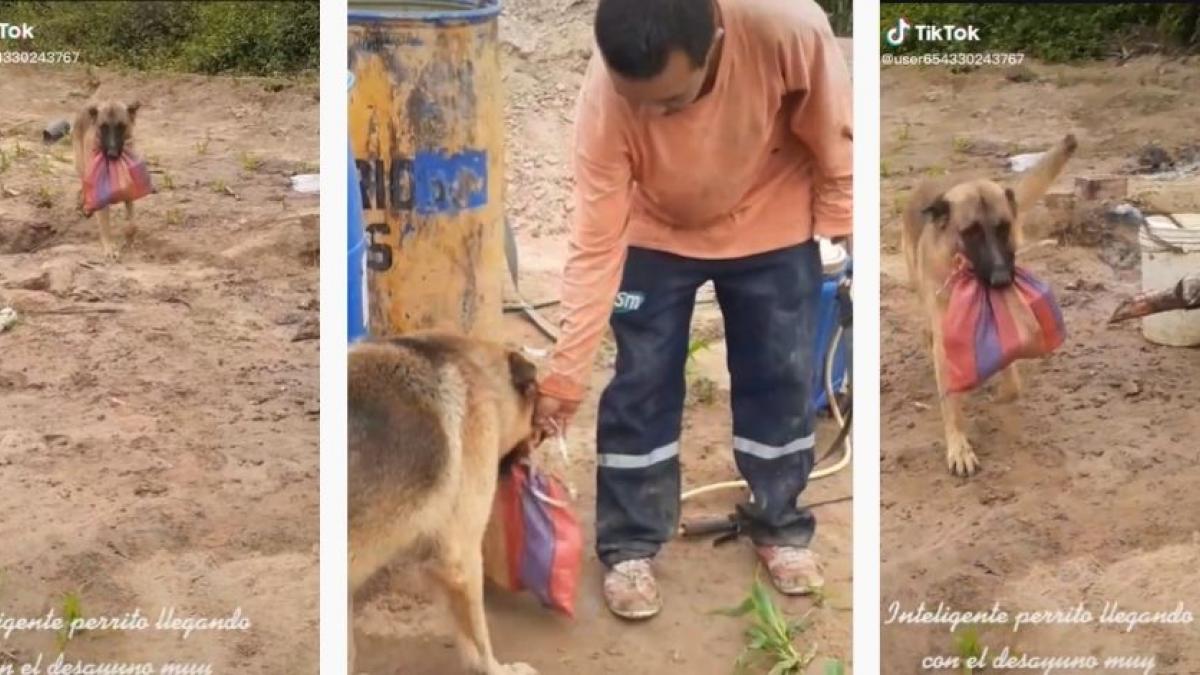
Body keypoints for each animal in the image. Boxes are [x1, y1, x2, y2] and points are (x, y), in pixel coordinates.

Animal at [72, 100, 140, 260]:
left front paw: (129, 240)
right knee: (84, 184)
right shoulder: (101, 195)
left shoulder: (129, 194)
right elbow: (104, 225)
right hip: (82, 165)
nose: (112, 154)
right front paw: (109, 249)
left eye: (121, 126)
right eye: (103, 127)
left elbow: (133, 225)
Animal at [902, 133, 1080, 475]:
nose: (1001, 279)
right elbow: (952, 404)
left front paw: (999, 393)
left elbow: (1011, 383)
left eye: (1003, 228)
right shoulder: (945, 344)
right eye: (970, 233)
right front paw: (959, 446)